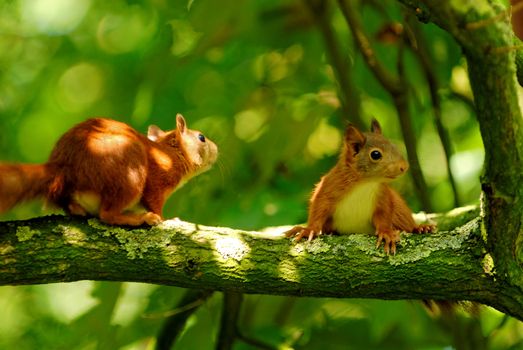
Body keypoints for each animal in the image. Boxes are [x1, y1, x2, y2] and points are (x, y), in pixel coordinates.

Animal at [0, 113, 218, 226]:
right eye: (201, 137)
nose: (217, 149)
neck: (170, 154)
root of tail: (63, 168)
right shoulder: (159, 175)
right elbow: (154, 200)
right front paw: (164, 218)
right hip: (128, 174)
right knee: (107, 214)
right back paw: (140, 218)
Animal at [286, 119, 434, 253]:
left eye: (394, 146)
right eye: (375, 154)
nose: (404, 166)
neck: (365, 184)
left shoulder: (383, 196)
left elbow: (384, 215)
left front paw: (386, 233)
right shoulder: (328, 187)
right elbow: (318, 209)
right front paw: (308, 229)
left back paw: (420, 228)